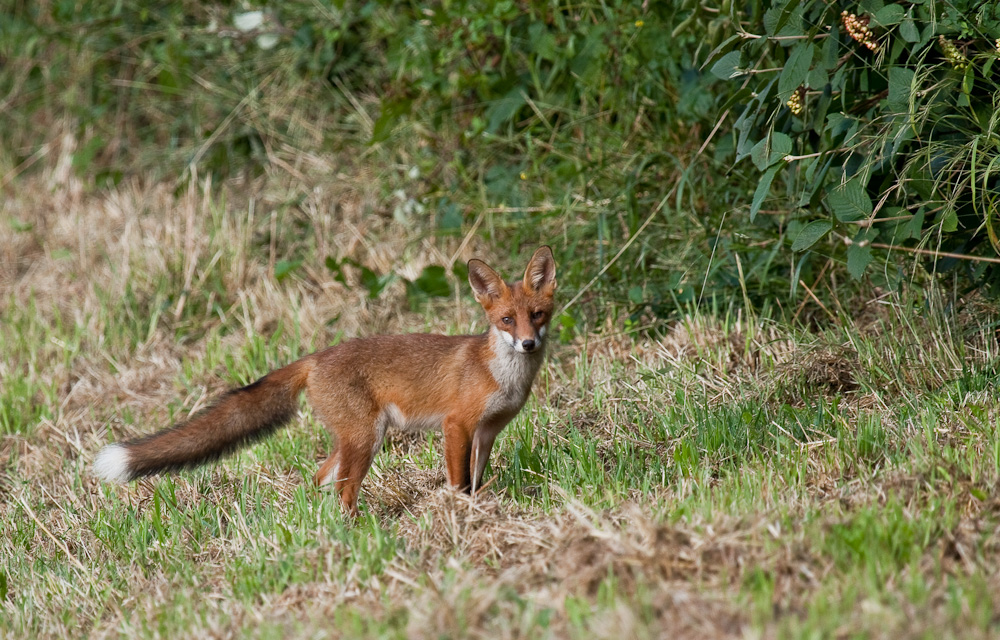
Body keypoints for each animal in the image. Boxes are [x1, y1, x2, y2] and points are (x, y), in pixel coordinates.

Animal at [94, 245, 560, 516]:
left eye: (537, 315)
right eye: (506, 320)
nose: (527, 344)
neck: (502, 376)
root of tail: (316, 356)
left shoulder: (487, 432)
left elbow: (476, 480)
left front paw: (479, 511)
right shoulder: (457, 425)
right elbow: (458, 482)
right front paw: (459, 514)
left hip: (353, 439)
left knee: (318, 481)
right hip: (366, 438)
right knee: (342, 489)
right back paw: (358, 530)